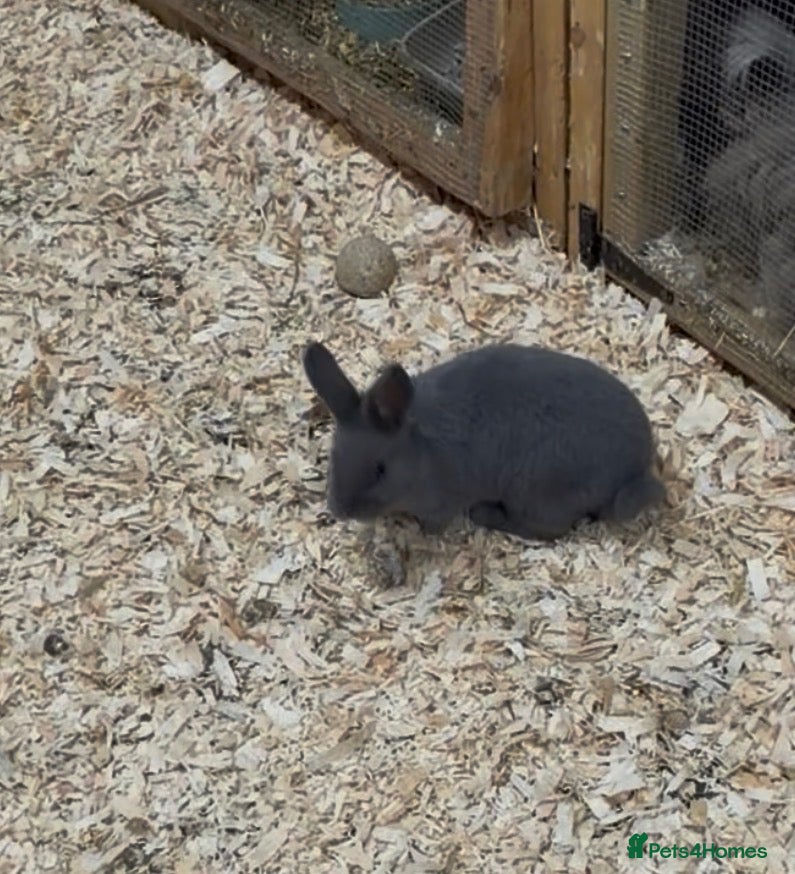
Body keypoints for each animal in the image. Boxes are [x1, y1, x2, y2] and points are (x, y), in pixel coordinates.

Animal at [302, 342, 666, 542]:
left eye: (380, 470)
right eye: (333, 456)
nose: (340, 511)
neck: (421, 454)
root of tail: (636, 471)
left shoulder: (440, 504)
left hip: (534, 493)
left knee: (548, 529)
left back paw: (485, 515)